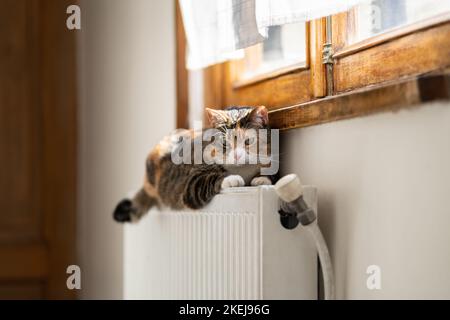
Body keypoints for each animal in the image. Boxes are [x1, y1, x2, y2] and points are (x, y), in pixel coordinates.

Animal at [113, 105, 274, 222]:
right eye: (224, 143)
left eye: (248, 141)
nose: (237, 155)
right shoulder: (191, 184)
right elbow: (209, 179)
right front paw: (231, 178)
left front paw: (262, 179)